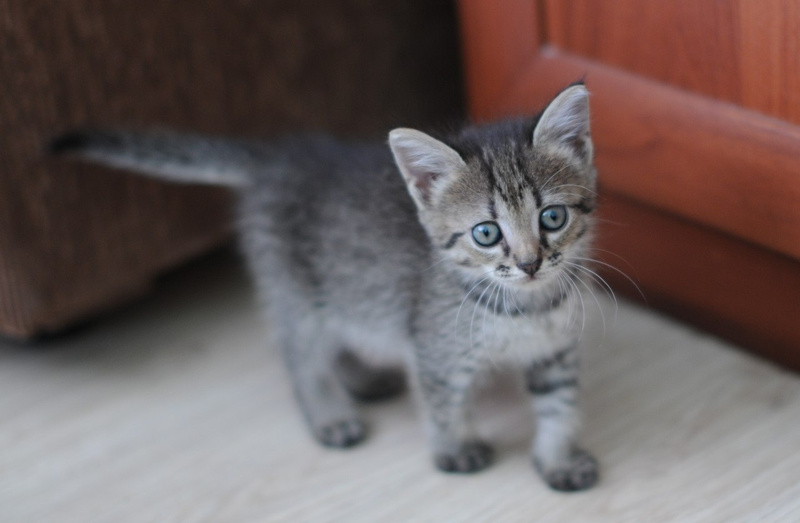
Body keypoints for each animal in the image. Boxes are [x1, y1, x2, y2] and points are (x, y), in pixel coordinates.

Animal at [50, 83, 600, 492]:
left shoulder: (553, 353)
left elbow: (559, 407)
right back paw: (330, 415)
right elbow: (443, 405)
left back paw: (364, 380)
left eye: (552, 217)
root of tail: (283, 156)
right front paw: (454, 448)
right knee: (302, 357)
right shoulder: (437, 354)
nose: (530, 262)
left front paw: (558, 458)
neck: (527, 306)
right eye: (487, 233)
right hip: (294, 293)